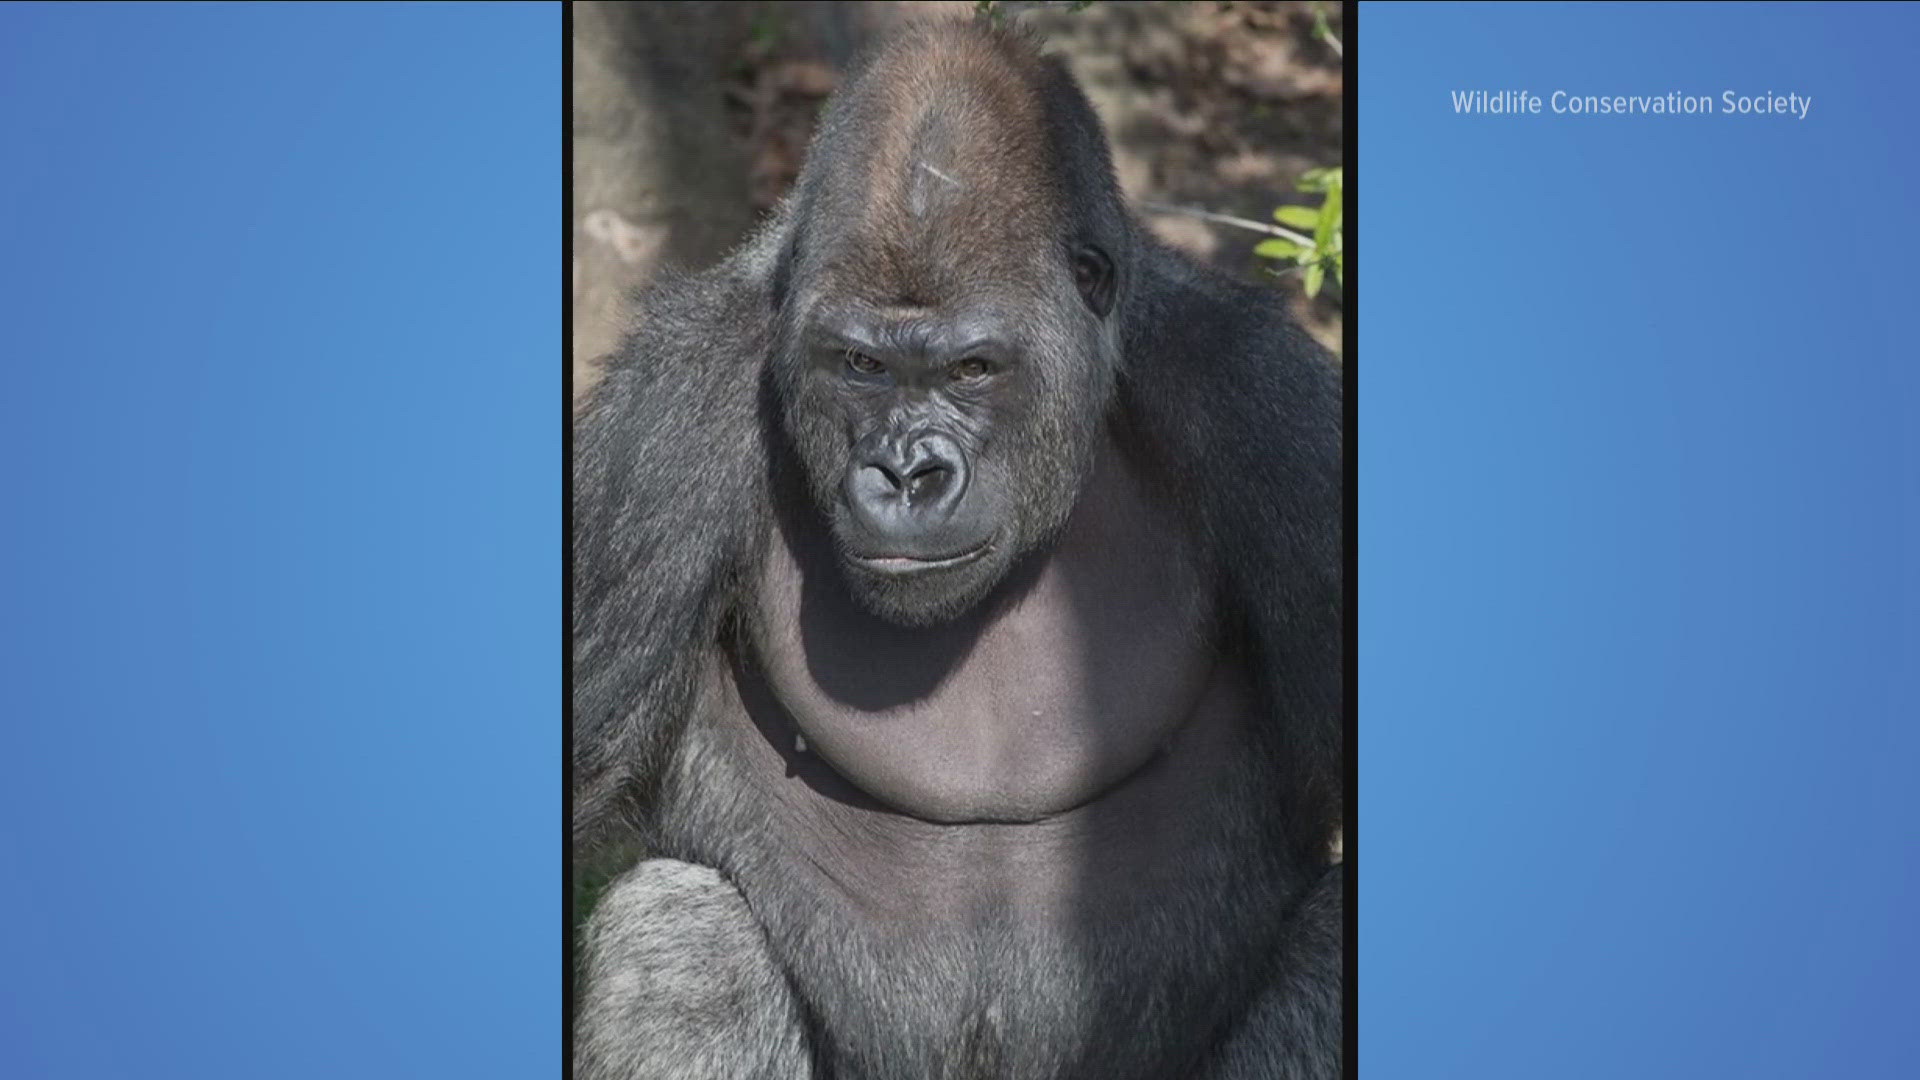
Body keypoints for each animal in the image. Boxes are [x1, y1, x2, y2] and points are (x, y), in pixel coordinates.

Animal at [576, 18, 1344, 1076]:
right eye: (862, 364)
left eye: (972, 369)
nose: (906, 474)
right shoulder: (657, 431)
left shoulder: (1278, 425)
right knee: (685, 933)